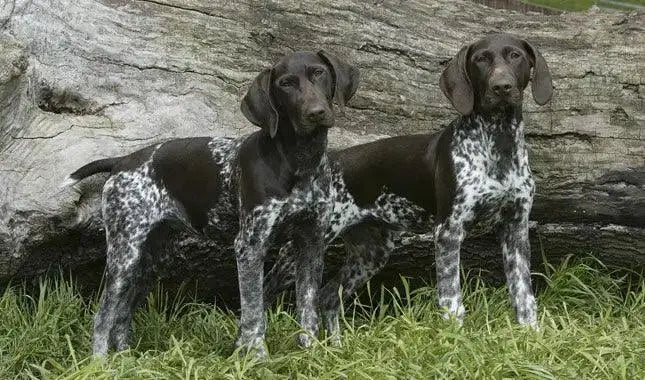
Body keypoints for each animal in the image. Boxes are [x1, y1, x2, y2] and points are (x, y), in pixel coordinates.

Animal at [64, 50, 362, 356]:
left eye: (319, 73)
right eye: (286, 84)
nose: (315, 112)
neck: (299, 161)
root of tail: (121, 161)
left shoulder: (311, 244)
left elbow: (308, 308)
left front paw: (311, 351)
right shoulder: (250, 247)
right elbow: (254, 313)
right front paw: (257, 356)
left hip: (150, 261)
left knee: (123, 315)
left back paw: (126, 358)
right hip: (125, 254)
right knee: (104, 315)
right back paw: (100, 361)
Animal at [264, 34, 552, 336]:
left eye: (515, 56)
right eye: (481, 59)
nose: (501, 86)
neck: (499, 143)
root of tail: (328, 164)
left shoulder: (515, 227)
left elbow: (523, 294)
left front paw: (531, 335)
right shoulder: (448, 231)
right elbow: (451, 300)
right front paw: (454, 338)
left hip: (371, 254)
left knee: (327, 296)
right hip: (303, 248)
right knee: (266, 291)